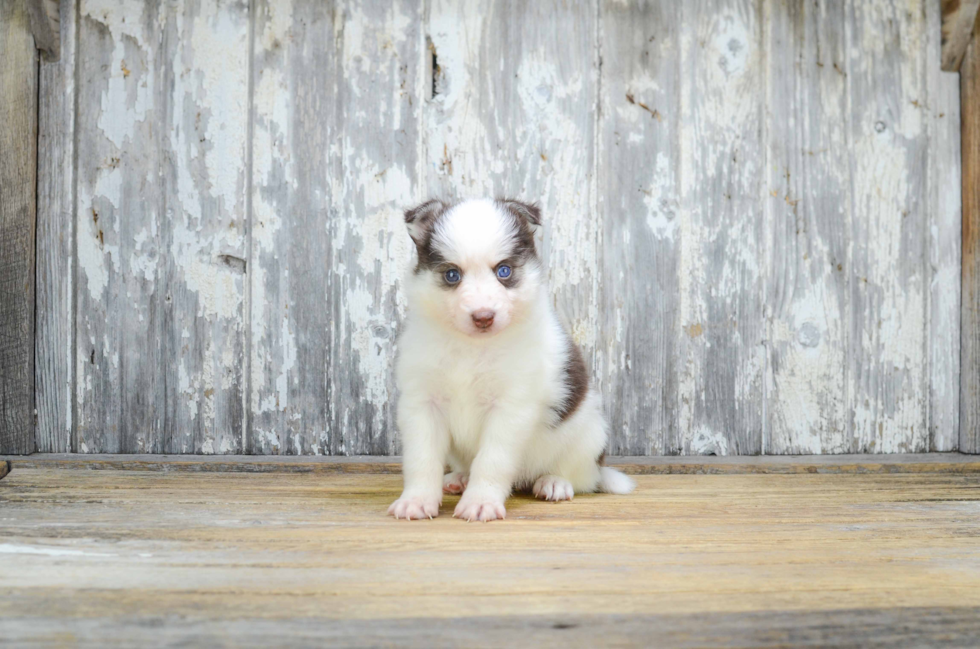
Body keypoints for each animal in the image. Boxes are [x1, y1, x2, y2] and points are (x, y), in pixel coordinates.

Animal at [390, 197, 636, 520]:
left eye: (503, 271)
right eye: (452, 275)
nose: (483, 317)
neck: (472, 347)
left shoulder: (510, 408)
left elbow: (492, 461)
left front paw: (481, 501)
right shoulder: (422, 404)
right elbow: (422, 458)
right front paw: (416, 499)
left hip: (588, 432)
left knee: (578, 475)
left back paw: (554, 482)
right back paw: (459, 478)